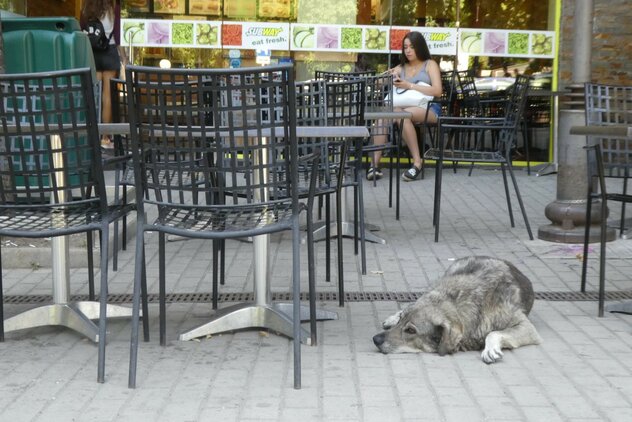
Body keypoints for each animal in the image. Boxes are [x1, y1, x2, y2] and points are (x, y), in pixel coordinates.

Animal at [372, 258, 540, 362]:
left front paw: (490, 349)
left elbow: (493, 333)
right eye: (401, 322)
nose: (375, 339)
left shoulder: (527, 327)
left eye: (411, 331)